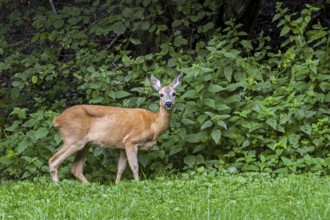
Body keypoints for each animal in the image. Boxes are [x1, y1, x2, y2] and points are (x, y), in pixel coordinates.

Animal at [49, 73, 183, 183]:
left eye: (174, 93)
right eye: (161, 94)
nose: (168, 103)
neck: (153, 124)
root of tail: (58, 119)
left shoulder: (122, 146)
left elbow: (120, 168)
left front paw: (116, 185)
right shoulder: (130, 141)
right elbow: (134, 166)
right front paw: (137, 183)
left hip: (85, 144)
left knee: (75, 168)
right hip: (74, 139)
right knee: (53, 161)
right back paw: (58, 185)